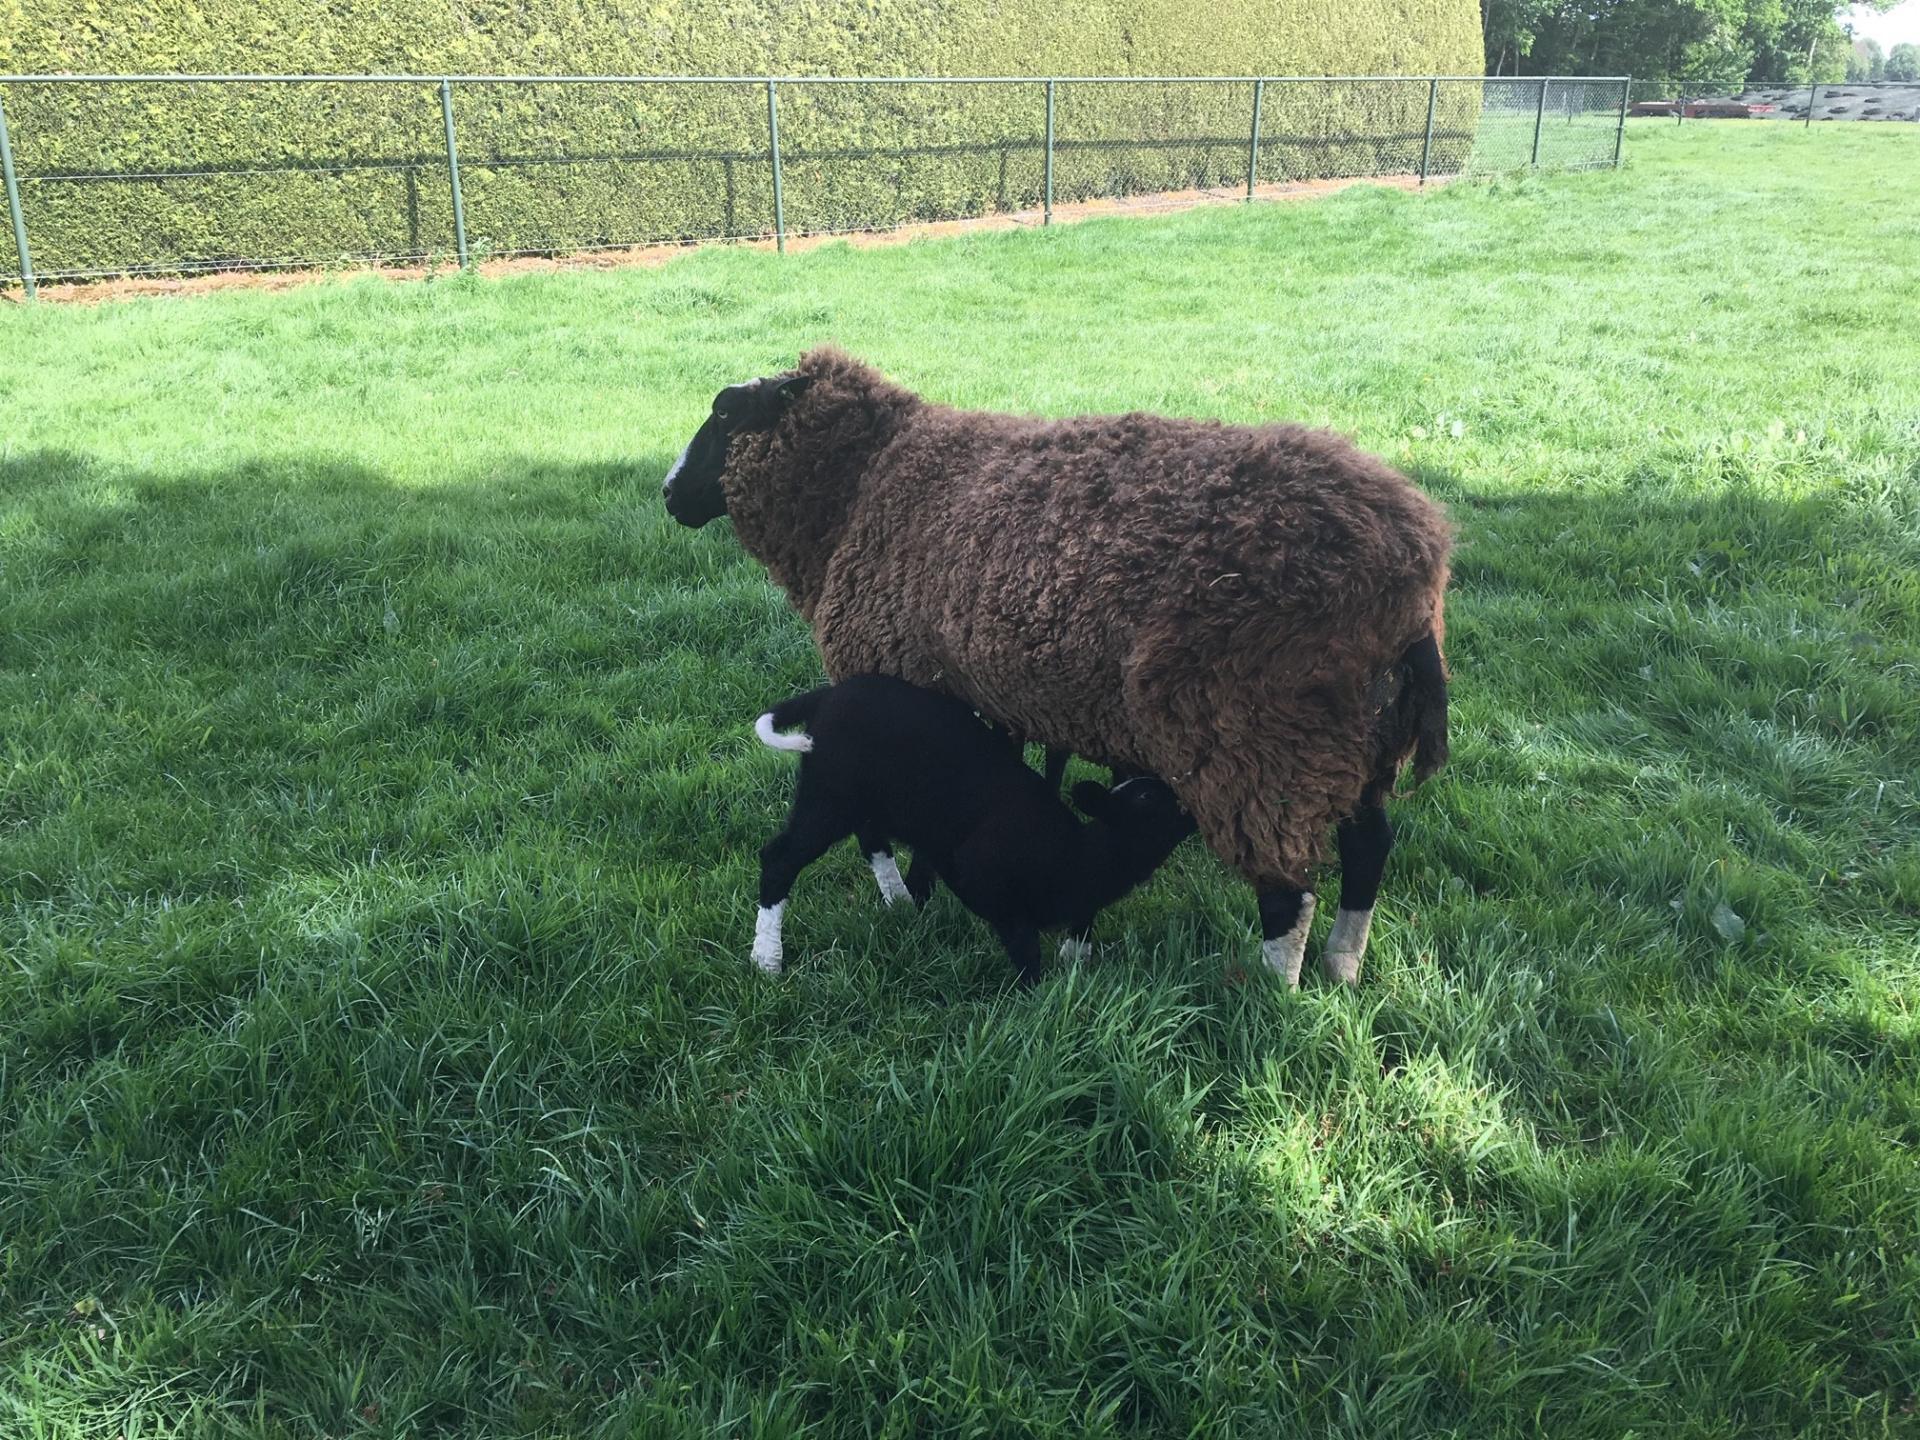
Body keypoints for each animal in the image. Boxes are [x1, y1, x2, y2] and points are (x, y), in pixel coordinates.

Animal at [750, 674, 1198, 983]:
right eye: (1150, 799)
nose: (1194, 810)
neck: (1078, 854)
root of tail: (830, 695)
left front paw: (1076, 960)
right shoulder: (984, 878)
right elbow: (1025, 949)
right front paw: (1039, 1000)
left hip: (869, 799)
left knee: (872, 840)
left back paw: (902, 904)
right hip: (829, 795)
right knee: (779, 859)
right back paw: (767, 958)